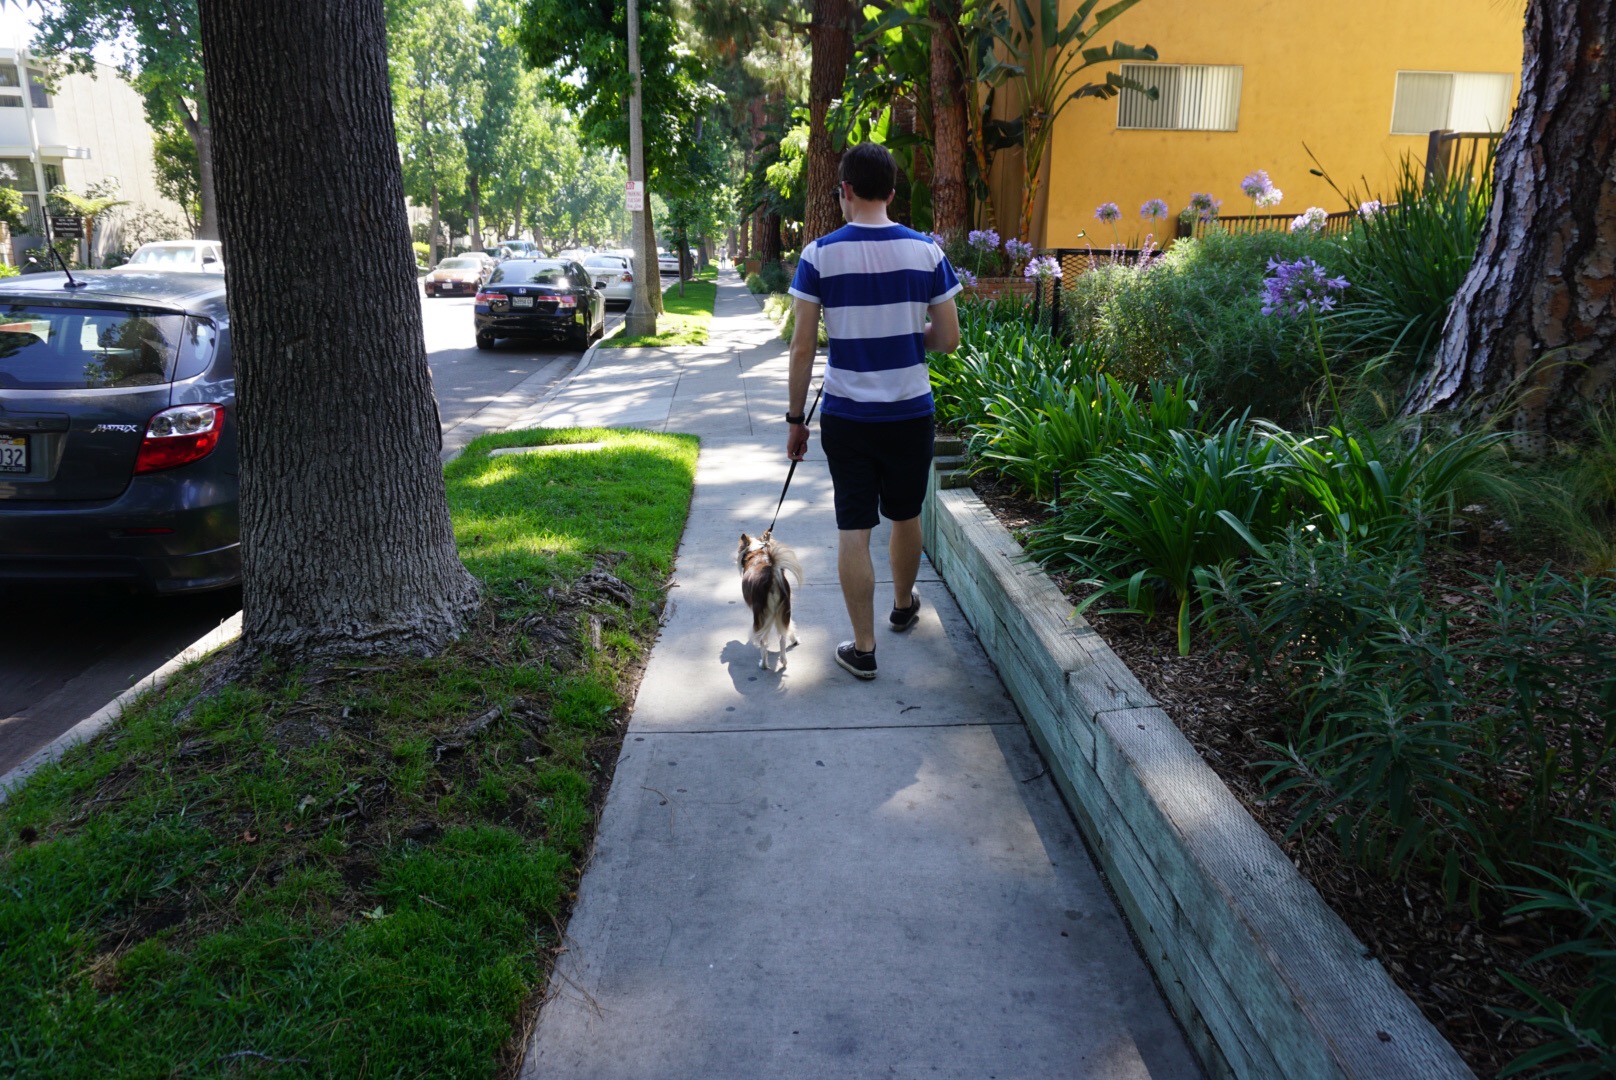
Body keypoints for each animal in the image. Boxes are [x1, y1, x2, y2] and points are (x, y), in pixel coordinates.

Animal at [738, 530, 803, 672]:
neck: (756, 552)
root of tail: (771, 576)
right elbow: (790, 626)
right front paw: (795, 639)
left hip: (760, 616)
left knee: (763, 642)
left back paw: (763, 664)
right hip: (784, 609)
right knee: (782, 639)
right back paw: (783, 661)